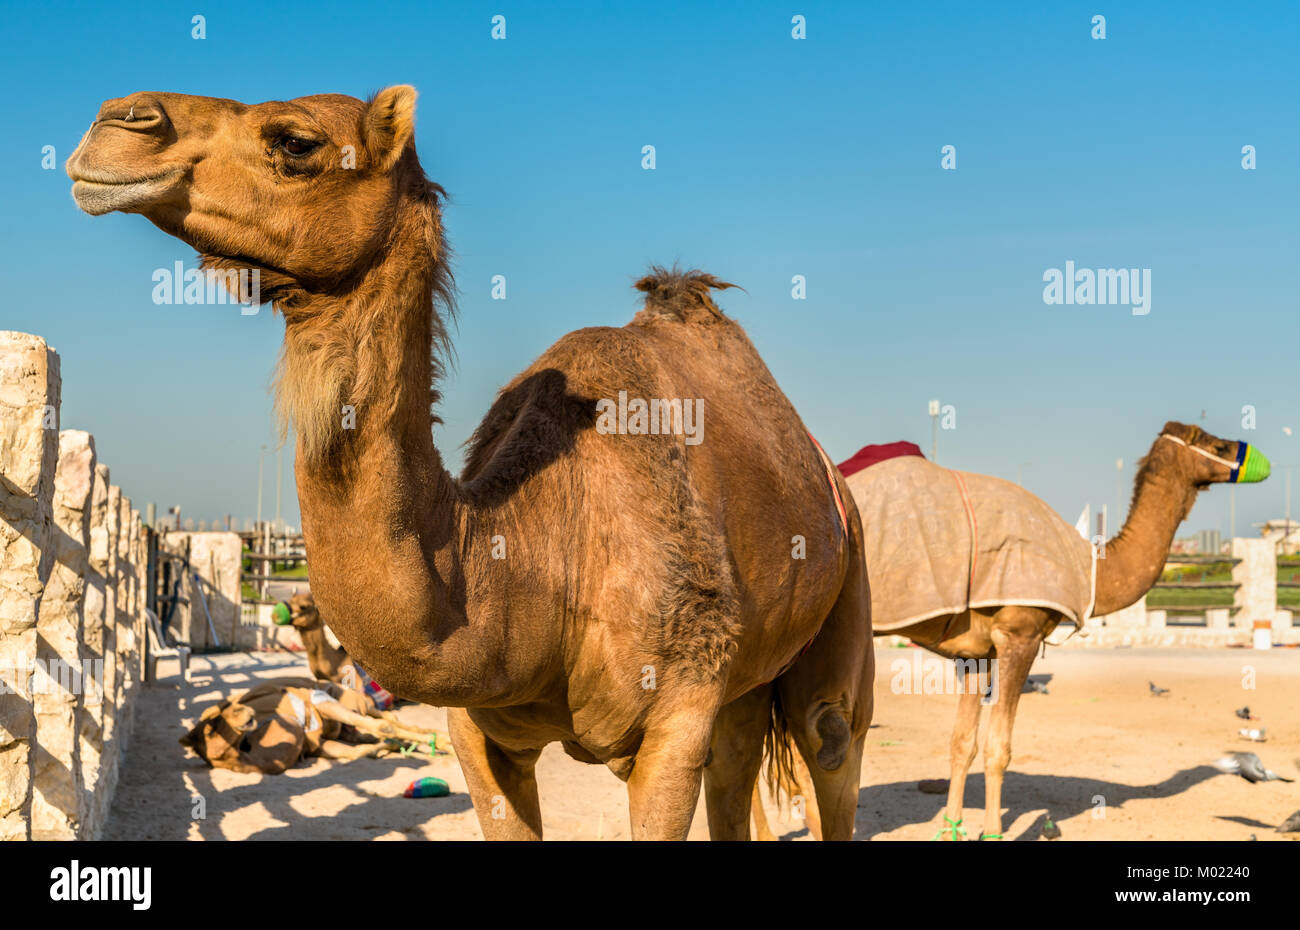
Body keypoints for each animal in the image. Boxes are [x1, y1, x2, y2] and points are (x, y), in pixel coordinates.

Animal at [180, 681, 449, 775]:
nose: (246, 712)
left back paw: (442, 741)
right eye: (211, 730)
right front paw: (390, 747)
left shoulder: (319, 702)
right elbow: (356, 752)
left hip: (346, 702)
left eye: (215, 719)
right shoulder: (318, 744)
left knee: (386, 718)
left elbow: (385, 727)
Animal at [754, 424, 1268, 842]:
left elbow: (963, 743)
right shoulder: (1020, 631)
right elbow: (999, 747)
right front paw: (992, 832)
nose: (1258, 459)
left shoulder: (976, 651)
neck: (1085, 566)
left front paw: (953, 828)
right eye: (1218, 446)